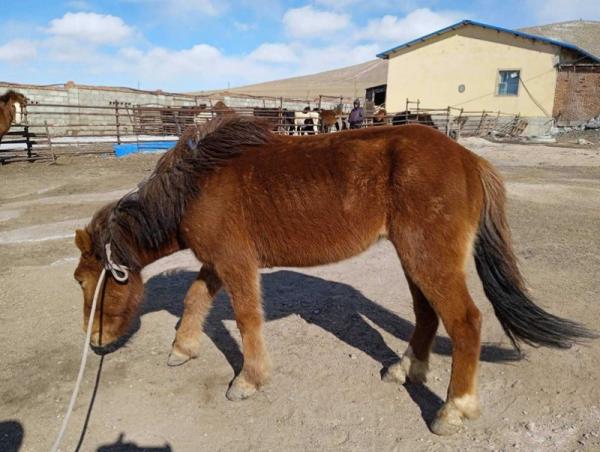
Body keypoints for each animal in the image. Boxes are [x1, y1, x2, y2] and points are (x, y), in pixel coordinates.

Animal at [72, 115, 592, 434]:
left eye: (84, 281)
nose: (94, 342)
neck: (196, 184)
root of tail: (469, 159)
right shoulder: (216, 263)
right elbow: (195, 299)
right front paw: (182, 350)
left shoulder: (235, 263)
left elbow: (246, 319)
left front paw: (248, 381)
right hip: (414, 256)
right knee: (427, 314)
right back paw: (405, 369)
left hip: (428, 257)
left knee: (464, 321)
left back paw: (453, 409)